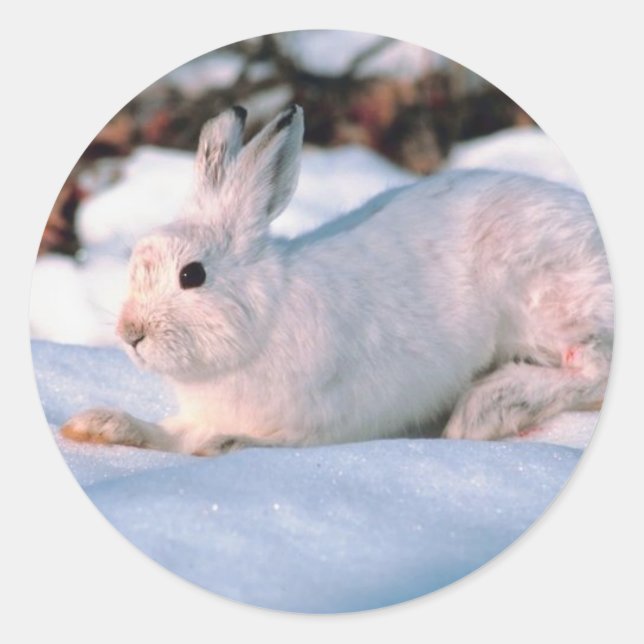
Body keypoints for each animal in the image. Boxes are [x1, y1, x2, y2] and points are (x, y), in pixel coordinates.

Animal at [60, 104, 613, 456]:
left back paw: (489, 408)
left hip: (550, 302)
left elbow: (275, 441)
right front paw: (96, 425)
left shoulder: (327, 415)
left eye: (192, 275)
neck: (263, 318)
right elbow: (169, 435)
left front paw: (227, 444)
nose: (130, 334)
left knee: (594, 369)